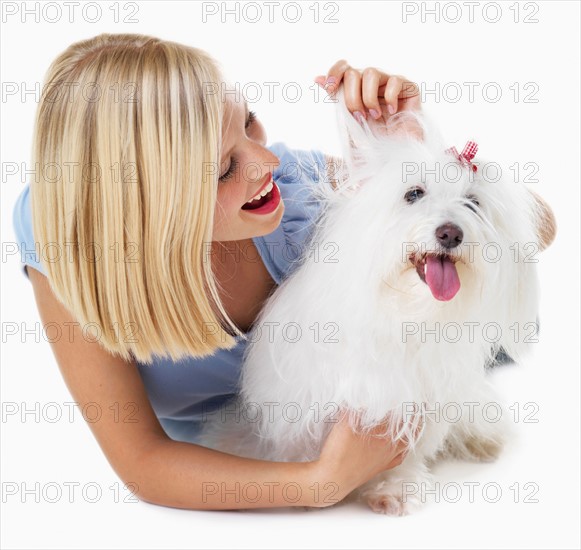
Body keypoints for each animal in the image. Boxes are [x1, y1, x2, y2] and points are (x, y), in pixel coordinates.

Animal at [198, 87, 544, 516]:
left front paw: (394, 488)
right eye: (414, 194)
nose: (450, 233)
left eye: (473, 203)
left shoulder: (418, 402)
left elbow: (407, 450)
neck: (405, 312)